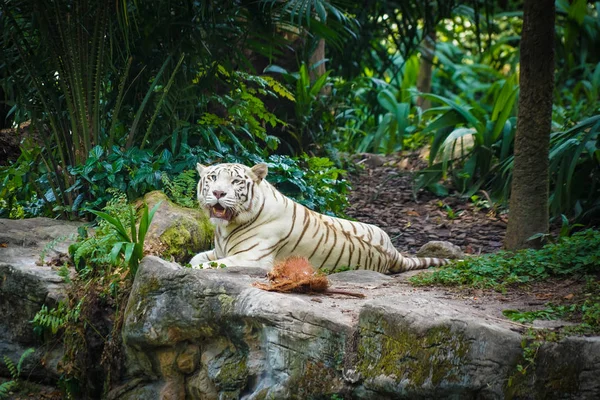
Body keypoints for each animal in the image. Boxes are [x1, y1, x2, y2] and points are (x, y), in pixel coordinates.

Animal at [189, 162, 450, 272]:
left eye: (235, 181)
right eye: (213, 178)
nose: (218, 193)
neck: (226, 227)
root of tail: (393, 254)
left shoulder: (252, 258)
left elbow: (203, 265)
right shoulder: (221, 250)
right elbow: (195, 258)